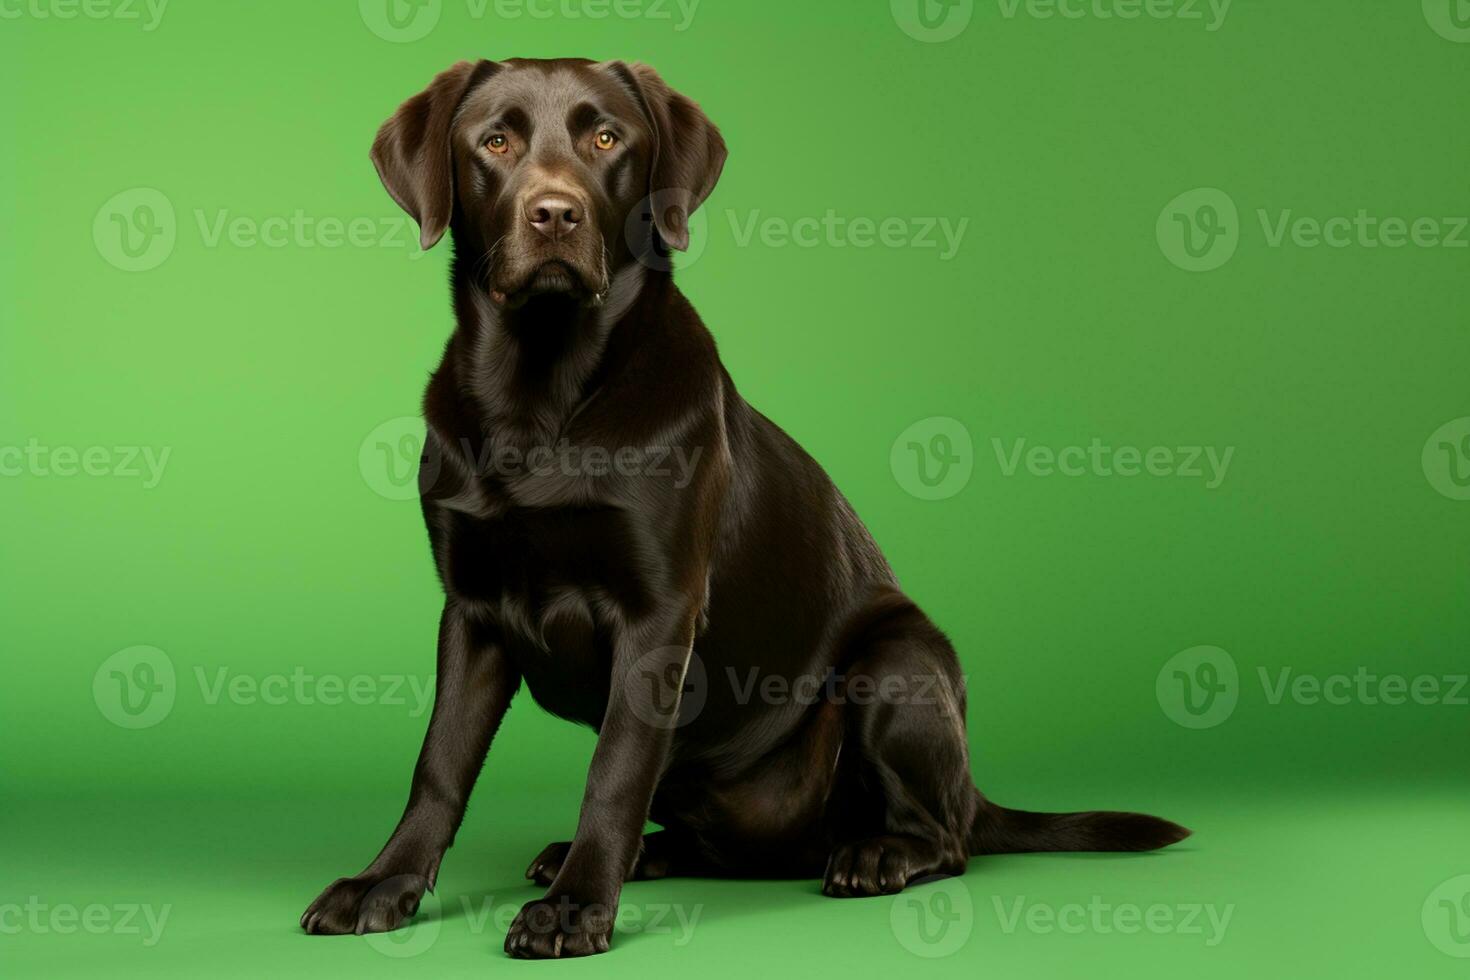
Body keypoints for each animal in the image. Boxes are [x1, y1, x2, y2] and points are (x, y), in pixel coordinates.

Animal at [304, 59, 1187, 957]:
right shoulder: (472, 610)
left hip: (895, 666)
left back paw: (875, 856)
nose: (555, 213)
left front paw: (576, 906)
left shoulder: (659, 613)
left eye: (607, 138)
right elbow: (440, 765)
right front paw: (385, 883)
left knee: (948, 840)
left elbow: (613, 773)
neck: (540, 393)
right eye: (494, 142)